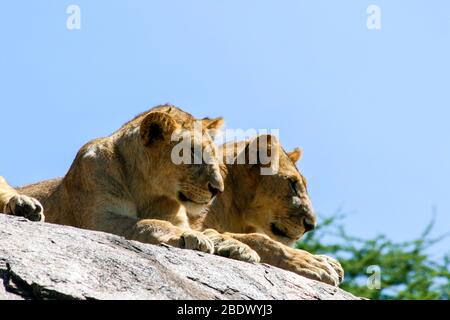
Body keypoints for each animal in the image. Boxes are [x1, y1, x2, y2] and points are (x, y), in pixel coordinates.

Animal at [0, 105, 258, 260]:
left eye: (214, 155)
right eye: (192, 153)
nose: (217, 190)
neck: (148, 190)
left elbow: (210, 231)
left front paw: (239, 248)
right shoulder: (98, 219)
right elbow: (148, 223)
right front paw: (193, 238)